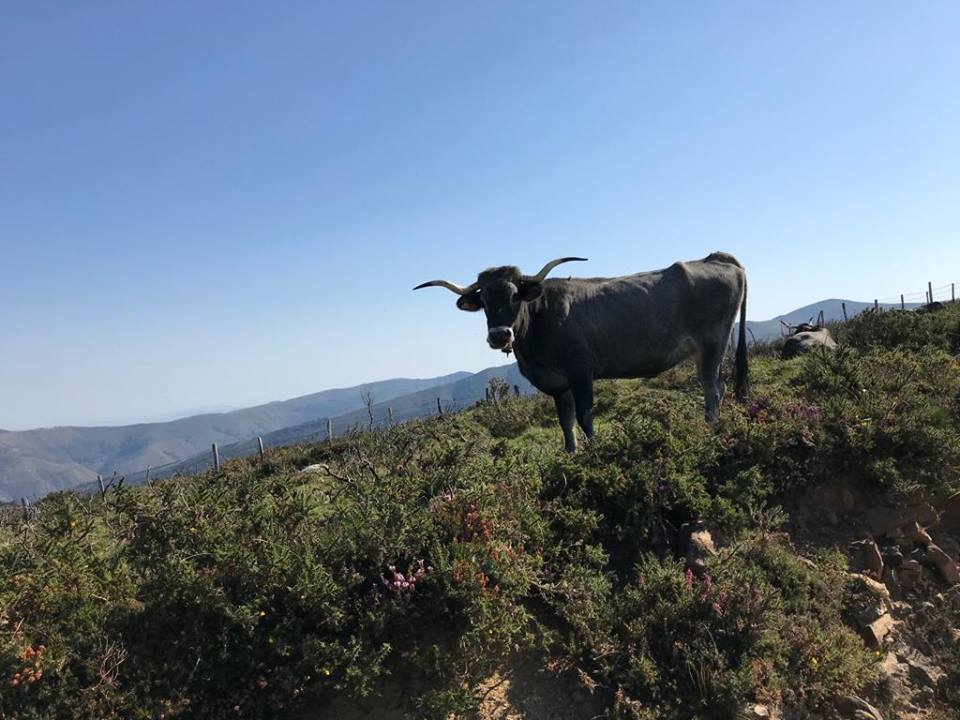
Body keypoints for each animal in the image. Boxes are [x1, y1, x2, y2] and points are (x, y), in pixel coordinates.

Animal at [414, 253, 749, 451]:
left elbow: (586, 418)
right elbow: (566, 423)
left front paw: (594, 454)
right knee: (718, 387)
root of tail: (716, 258)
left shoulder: (581, 374)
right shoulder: (559, 384)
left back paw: (709, 430)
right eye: (483, 300)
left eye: (514, 296)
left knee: (712, 390)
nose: (499, 335)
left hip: (712, 345)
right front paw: (571, 456)